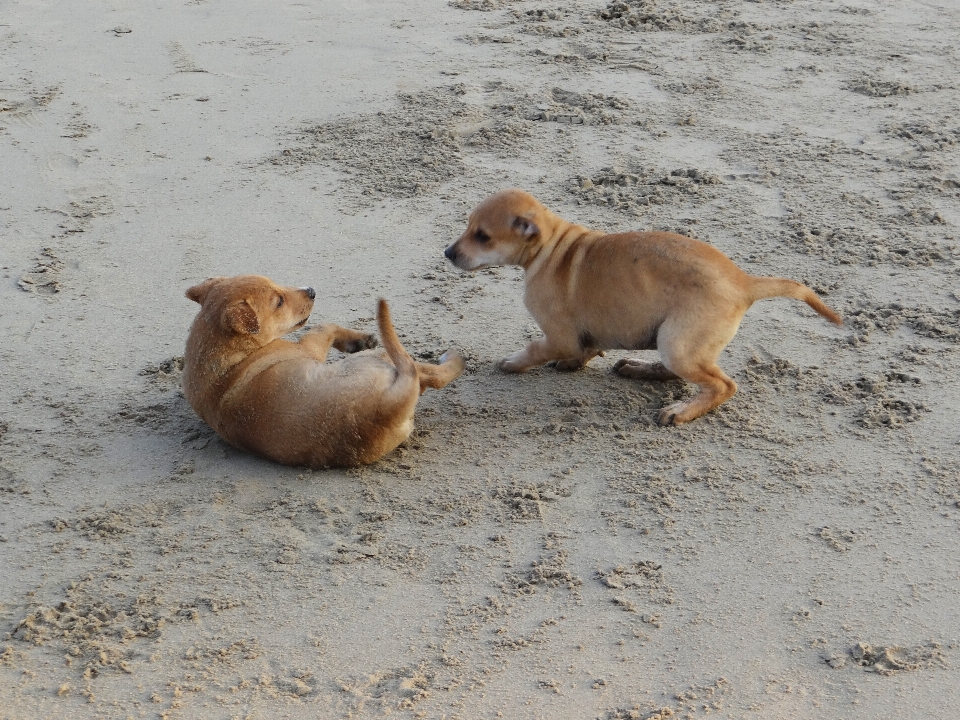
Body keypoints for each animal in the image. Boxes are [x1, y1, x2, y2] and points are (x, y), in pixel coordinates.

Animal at [185, 274, 464, 466]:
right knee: (430, 374)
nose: (312, 290)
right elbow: (324, 326)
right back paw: (454, 358)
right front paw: (357, 339)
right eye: (279, 302)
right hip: (379, 359)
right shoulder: (308, 349)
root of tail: (388, 408)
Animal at [442, 191, 840, 428]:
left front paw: (512, 362)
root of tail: (744, 282)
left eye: (482, 236)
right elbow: (586, 349)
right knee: (679, 374)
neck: (550, 247)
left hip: (678, 342)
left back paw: (681, 411)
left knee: (721, 385)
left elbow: (534, 349)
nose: (447, 252)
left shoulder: (557, 337)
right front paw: (575, 363)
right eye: (467, 227)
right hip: (674, 340)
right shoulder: (583, 336)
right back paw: (636, 368)